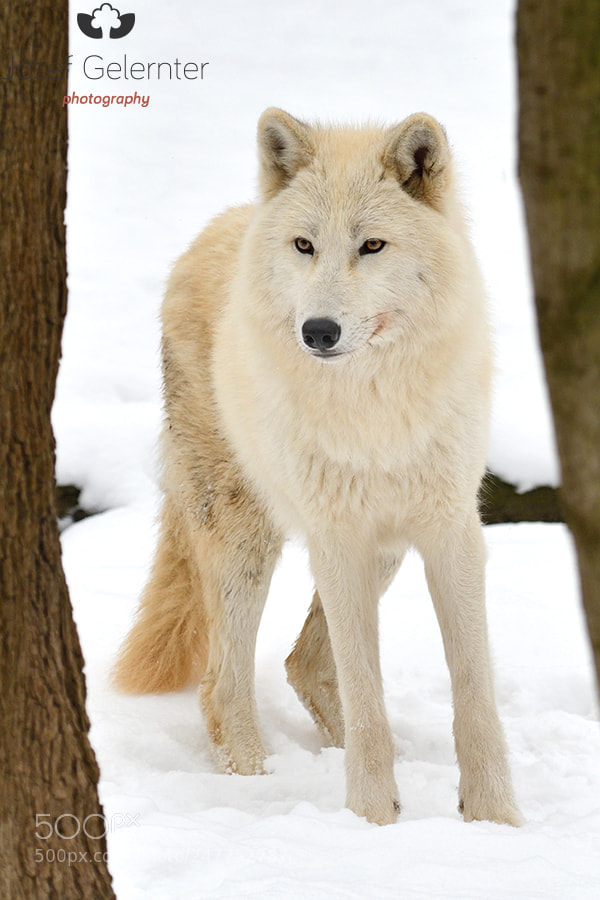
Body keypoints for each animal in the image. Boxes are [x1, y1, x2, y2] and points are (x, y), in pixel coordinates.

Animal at [113, 108, 520, 827]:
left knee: (302, 664)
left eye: (372, 246)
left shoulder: (450, 534)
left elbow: (474, 692)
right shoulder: (337, 541)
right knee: (223, 682)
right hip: (246, 538)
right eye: (305, 246)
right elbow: (366, 697)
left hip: (383, 550)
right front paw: (373, 821)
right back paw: (255, 787)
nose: (319, 331)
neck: (373, 407)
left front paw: (494, 820)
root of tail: (218, 226)